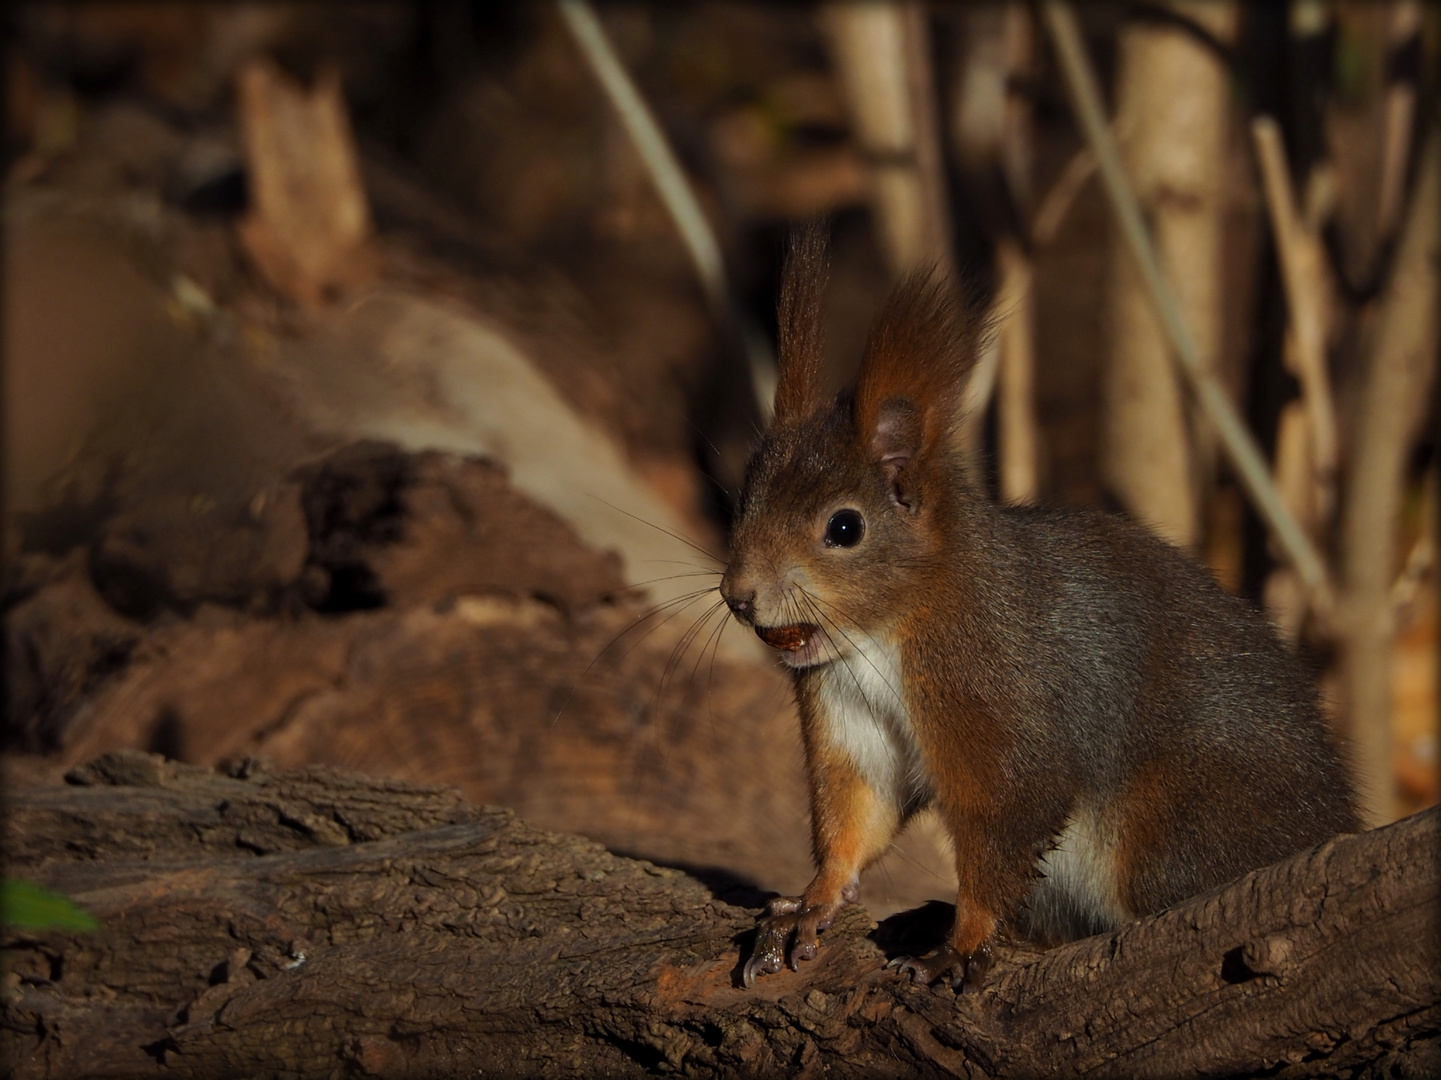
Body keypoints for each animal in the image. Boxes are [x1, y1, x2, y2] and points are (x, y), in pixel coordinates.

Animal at [726, 227, 1354, 986]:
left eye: (844, 528)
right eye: (743, 498)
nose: (737, 595)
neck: (889, 629)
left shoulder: (996, 692)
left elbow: (1008, 820)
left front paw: (961, 944)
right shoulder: (847, 715)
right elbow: (857, 816)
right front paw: (810, 904)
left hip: (1174, 828)